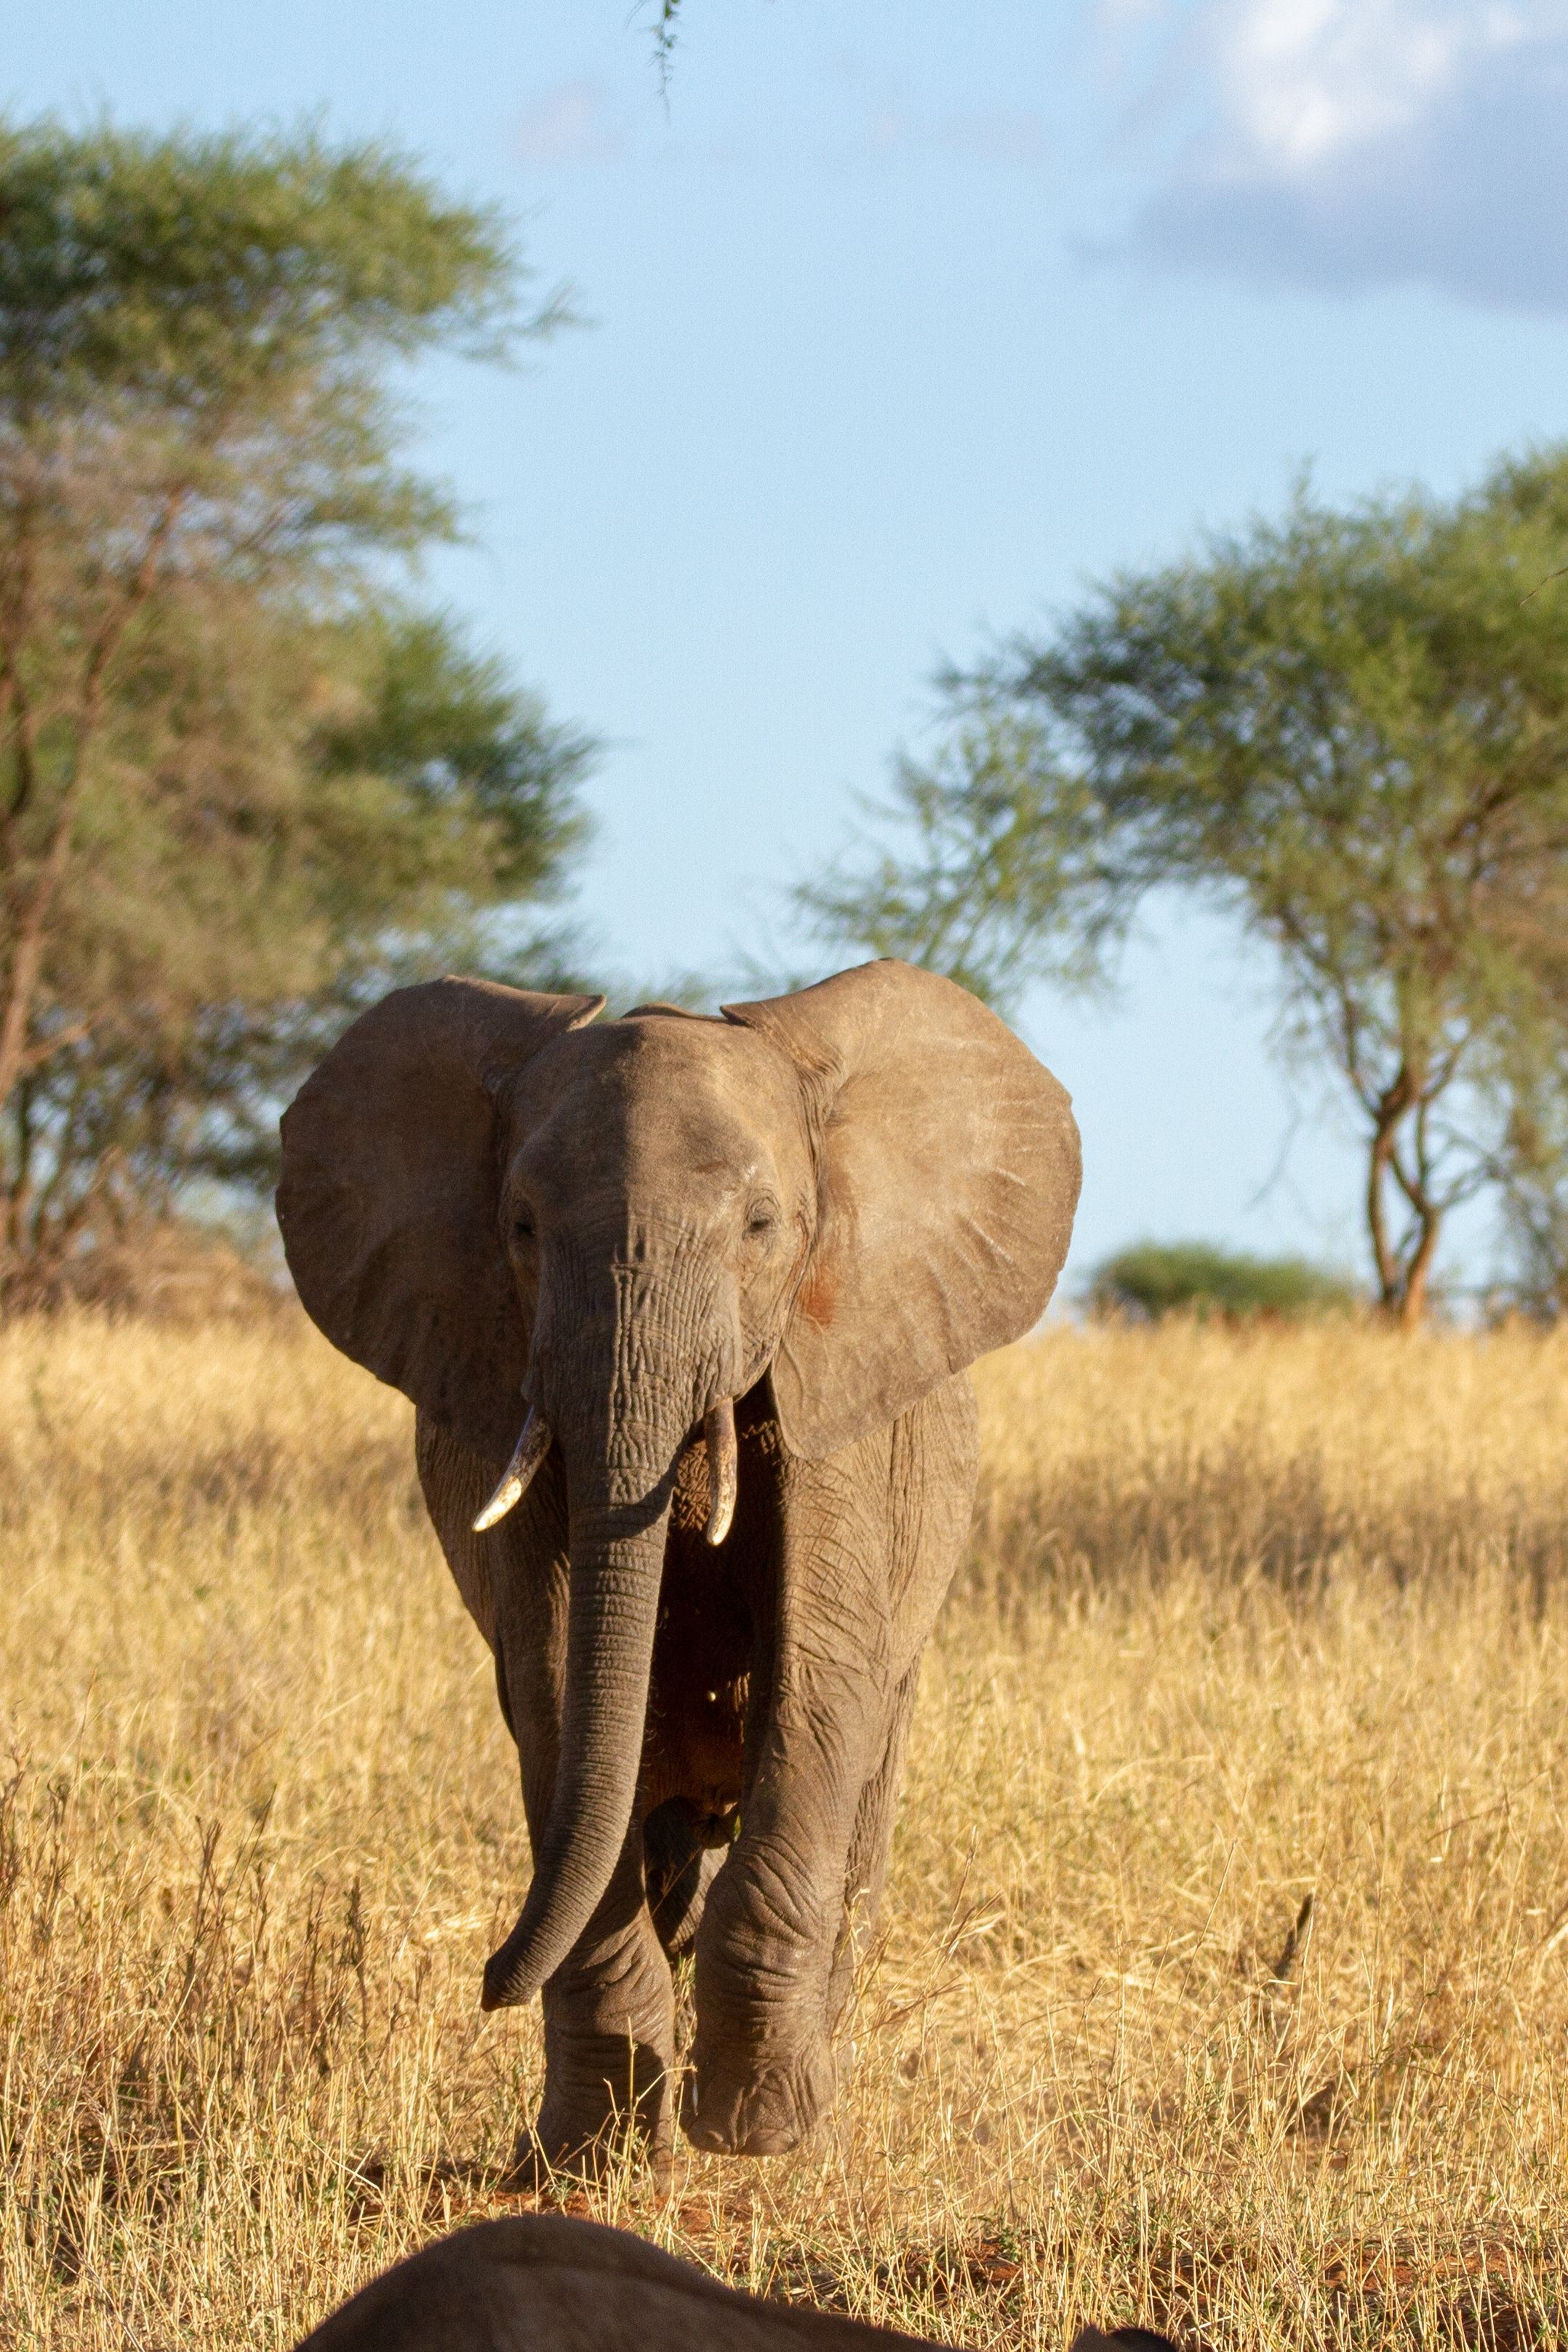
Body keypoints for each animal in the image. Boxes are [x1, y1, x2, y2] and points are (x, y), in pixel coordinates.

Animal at [276, 958, 1079, 2172]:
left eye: (761, 1224)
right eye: (519, 1225)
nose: (487, 1981)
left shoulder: (832, 1384)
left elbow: (819, 1684)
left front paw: (756, 2135)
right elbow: (554, 1686)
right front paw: (596, 2153)